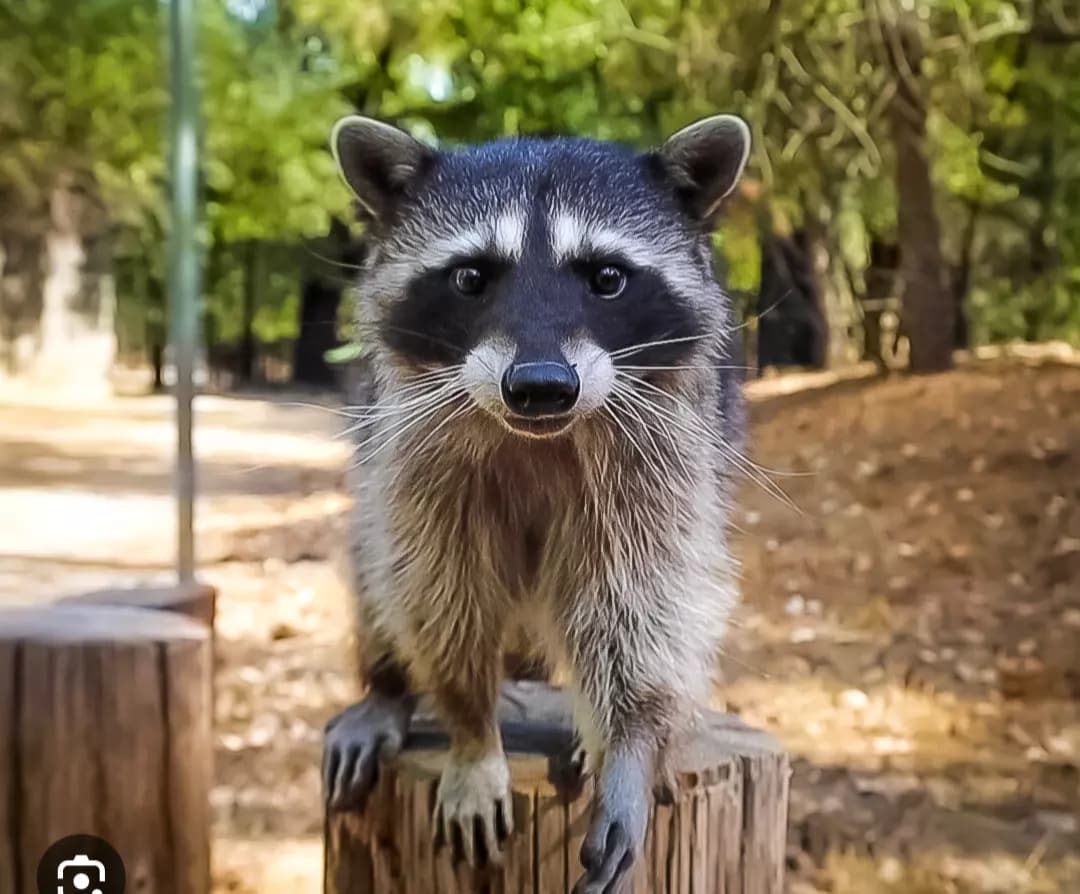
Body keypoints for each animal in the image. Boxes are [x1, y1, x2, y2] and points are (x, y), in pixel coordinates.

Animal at [323, 113, 751, 891]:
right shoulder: (412, 448)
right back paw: (387, 686)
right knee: (377, 562)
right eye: (470, 278)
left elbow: (646, 599)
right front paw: (471, 730)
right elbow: (438, 587)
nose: (542, 386)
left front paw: (631, 745)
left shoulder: (667, 456)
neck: (538, 435)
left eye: (607, 278)